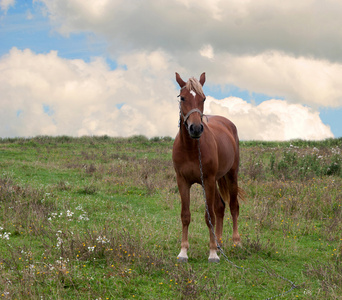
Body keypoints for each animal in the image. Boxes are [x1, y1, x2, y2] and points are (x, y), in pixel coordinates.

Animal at [172, 72, 242, 262]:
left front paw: (212, 254)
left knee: (233, 206)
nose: (195, 128)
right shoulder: (183, 181)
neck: (191, 148)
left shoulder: (208, 180)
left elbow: (209, 214)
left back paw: (236, 242)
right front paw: (183, 252)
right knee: (220, 207)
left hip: (231, 176)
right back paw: (218, 243)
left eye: (203, 98)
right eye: (182, 97)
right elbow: (185, 215)